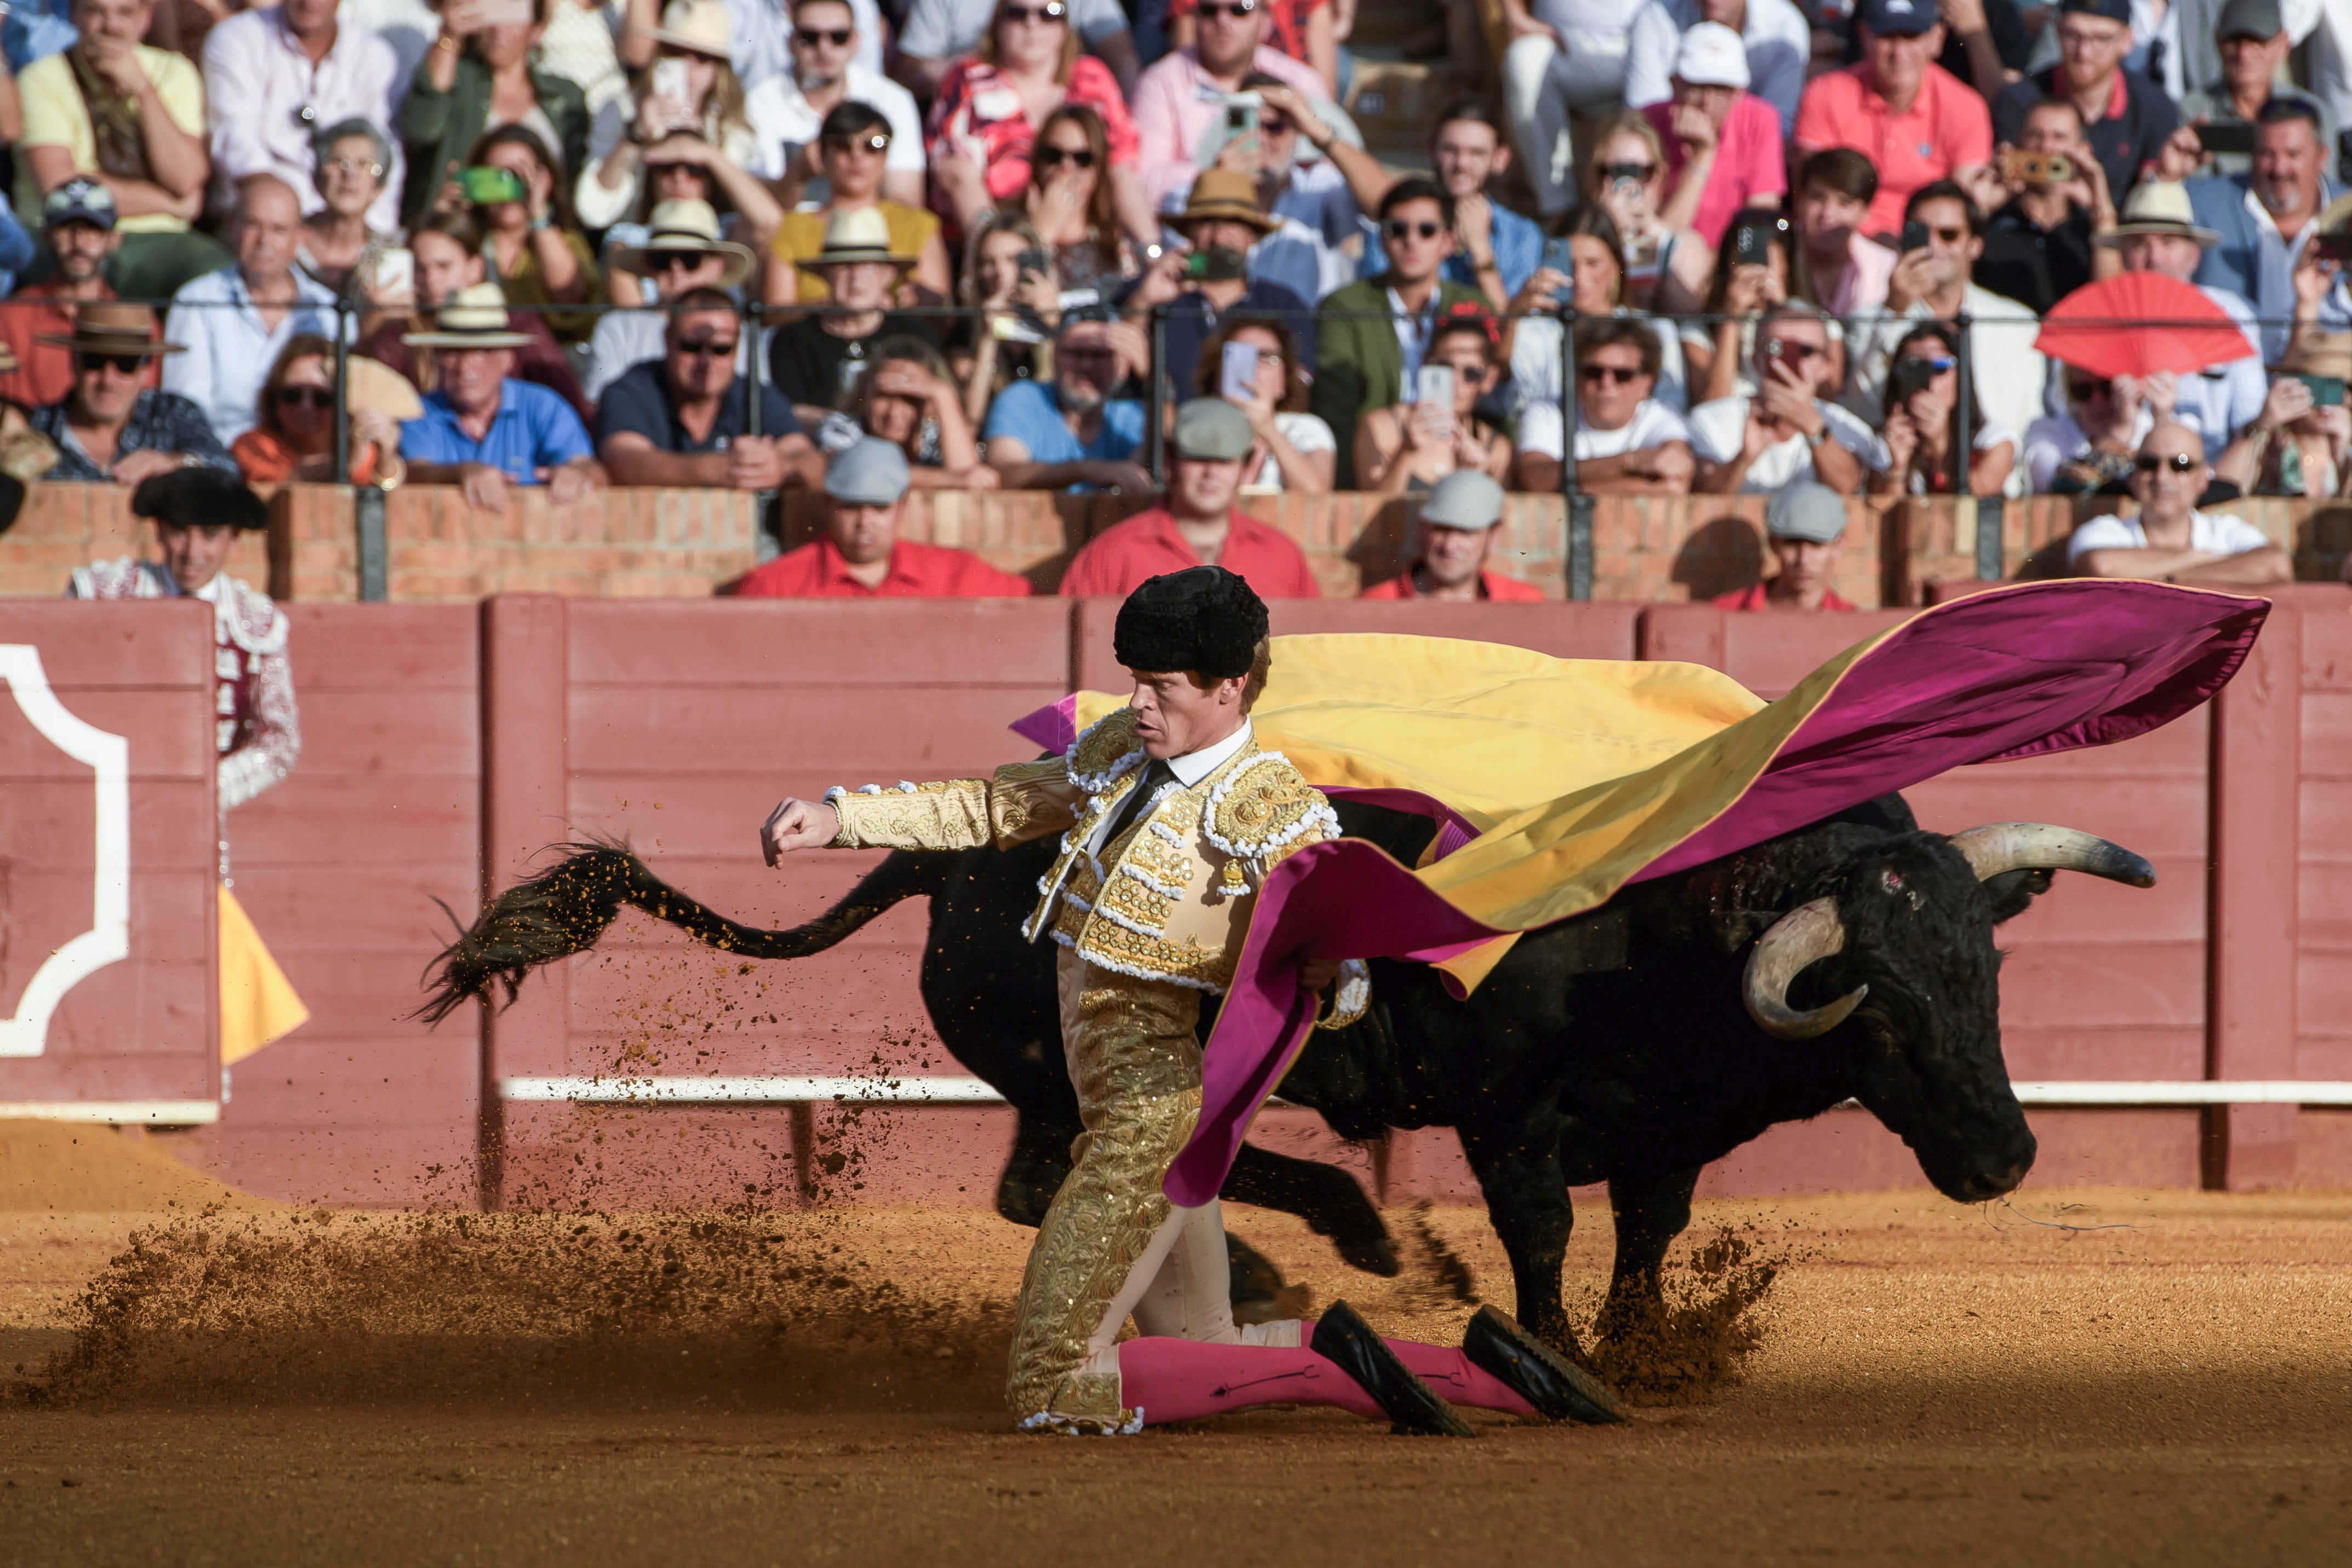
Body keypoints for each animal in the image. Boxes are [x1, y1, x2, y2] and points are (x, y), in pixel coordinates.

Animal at [419, 799, 2154, 1363]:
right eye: (1878, 1006)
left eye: (1986, 978)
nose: (2004, 1160)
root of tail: (959, 848)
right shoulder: (1509, 1123)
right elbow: (1540, 1238)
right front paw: (1541, 1348)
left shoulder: (1663, 1135)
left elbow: (1645, 1239)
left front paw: (1645, 1351)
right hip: (1084, 1060)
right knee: (1105, 1169)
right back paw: (1319, 1243)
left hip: (1047, 1080)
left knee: (1042, 1180)